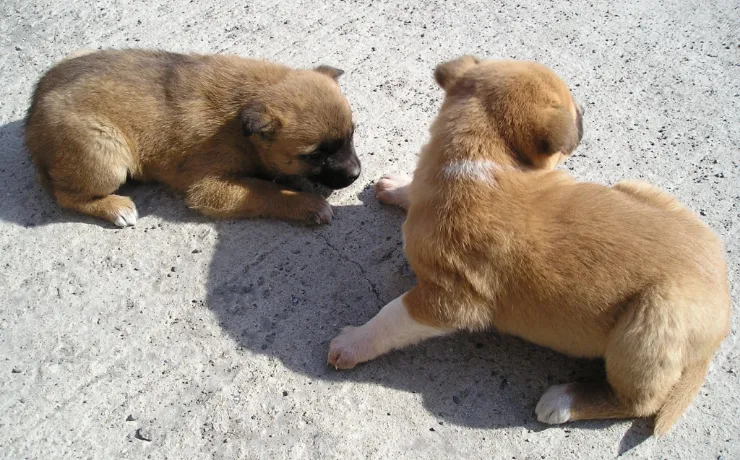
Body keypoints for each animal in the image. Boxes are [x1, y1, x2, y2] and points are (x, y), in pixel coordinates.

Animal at [23, 49, 358, 226]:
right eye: (314, 155)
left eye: (353, 133)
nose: (356, 174)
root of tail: (32, 118)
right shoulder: (207, 187)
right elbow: (265, 191)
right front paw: (307, 204)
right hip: (105, 154)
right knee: (66, 195)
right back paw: (115, 208)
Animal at [328, 56, 728, 434]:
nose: (584, 112)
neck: (480, 156)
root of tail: (723, 316)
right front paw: (399, 187)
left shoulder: (450, 301)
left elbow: (390, 317)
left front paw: (354, 342)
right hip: (637, 190)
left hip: (649, 325)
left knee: (640, 403)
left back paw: (564, 400)